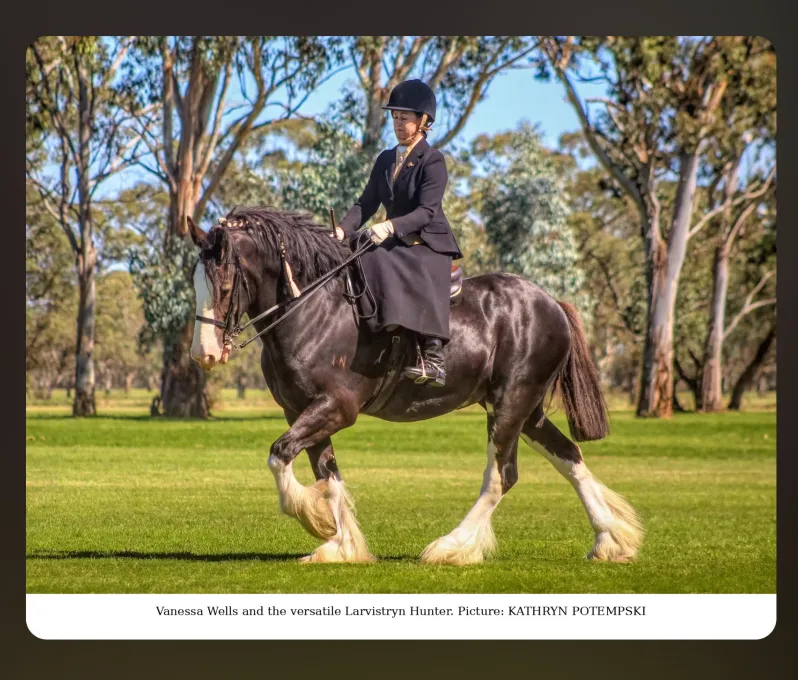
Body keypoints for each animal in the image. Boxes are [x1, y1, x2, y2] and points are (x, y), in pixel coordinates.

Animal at [187, 206, 643, 566]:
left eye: (224, 286)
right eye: (194, 283)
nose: (203, 353)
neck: (312, 308)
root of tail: (551, 304)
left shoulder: (336, 406)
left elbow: (280, 456)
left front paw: (313, 521)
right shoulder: (301, 408)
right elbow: (327, 475)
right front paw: (341, 544)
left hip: (510, 405)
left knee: (502, 476)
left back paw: (452, 547)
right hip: (526, 412)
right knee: (570, 456)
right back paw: (610, 541)